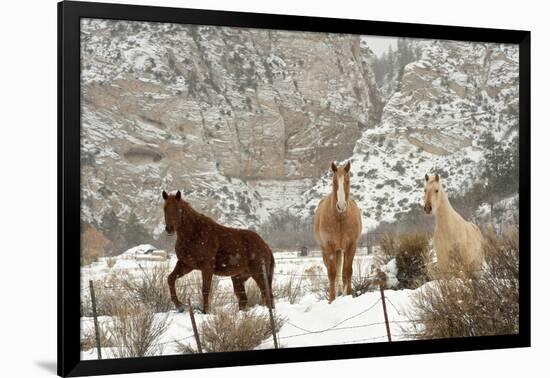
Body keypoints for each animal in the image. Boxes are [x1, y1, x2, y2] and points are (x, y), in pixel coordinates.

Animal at [314, 161, 362, 302]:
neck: (340, 218)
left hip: (341, 250)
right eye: (334, 182)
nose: (341, 206)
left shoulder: (351, 246)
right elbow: (332, 273)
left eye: (347, 181)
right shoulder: (329, 247)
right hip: (327, 251)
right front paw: (331, 299)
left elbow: (348, 271)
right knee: (333, 273)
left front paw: (348, 294)